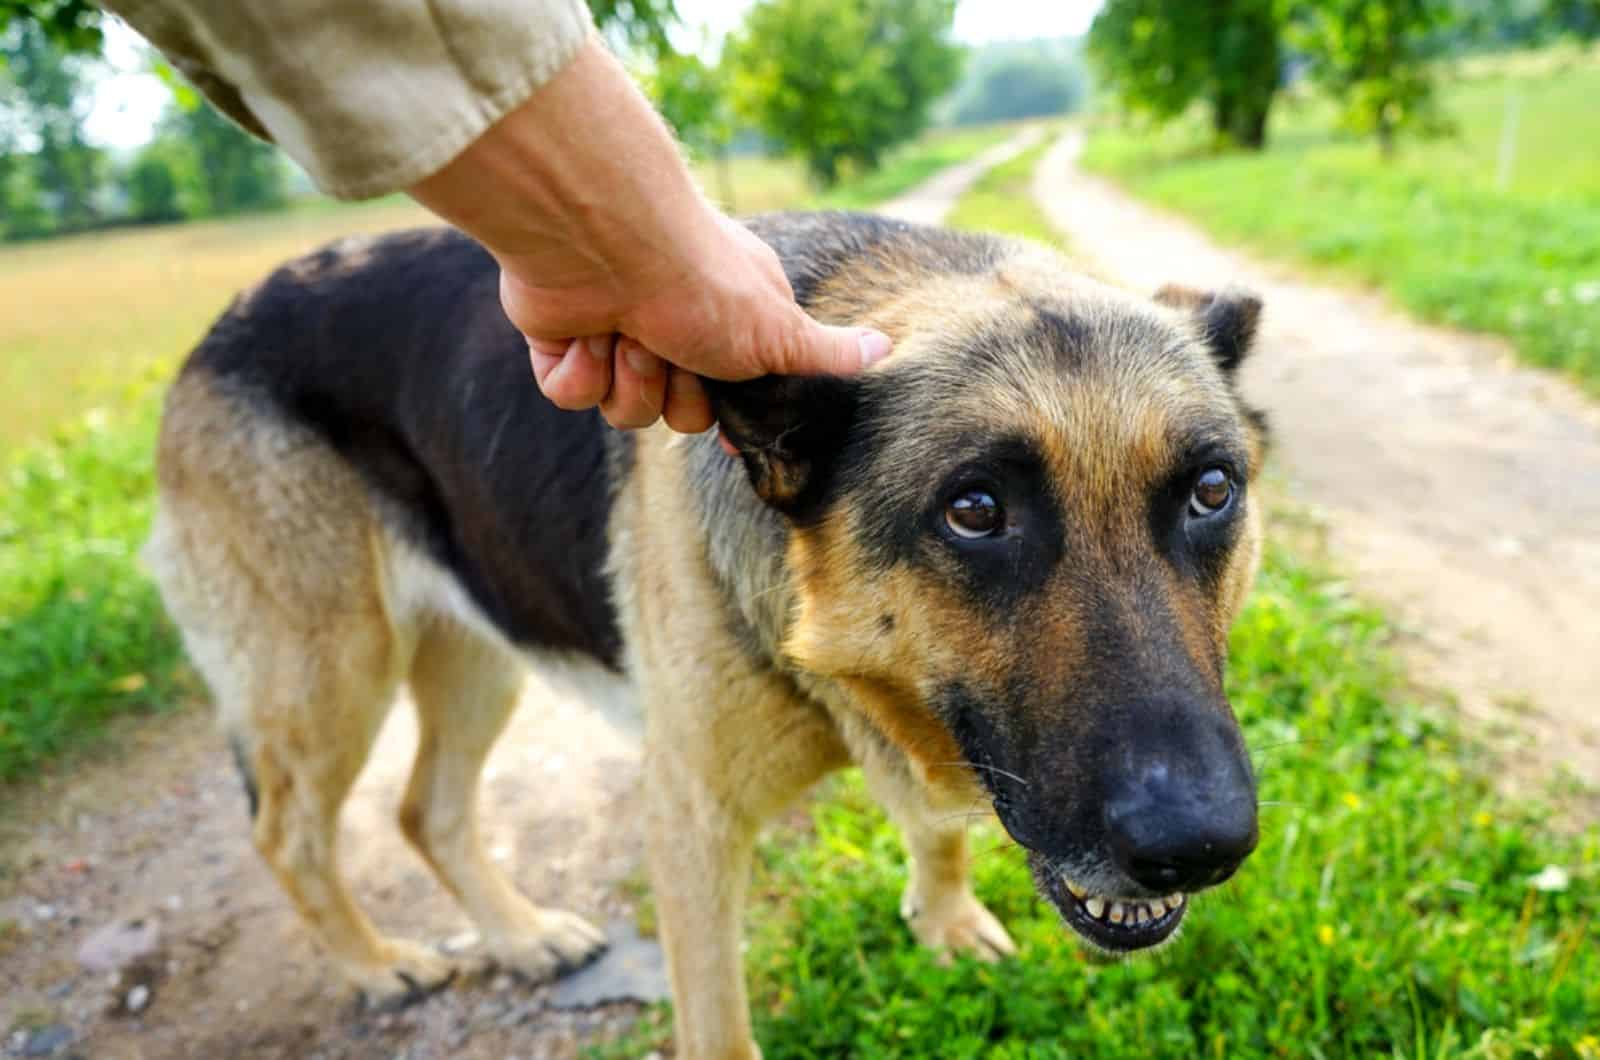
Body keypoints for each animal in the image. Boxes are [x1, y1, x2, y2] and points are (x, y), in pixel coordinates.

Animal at [152, 211, 1273, 1056]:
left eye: (1212, 492)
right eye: (975, 510)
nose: (1196, 847)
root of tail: (221, 326)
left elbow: (937, 822)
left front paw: (944, 916)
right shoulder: (691, 818)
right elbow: (720, 1024)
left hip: (474, 652)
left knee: (426, 808)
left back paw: (519, 936)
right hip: (330, 676)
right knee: (289, 832)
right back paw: (377, 962)